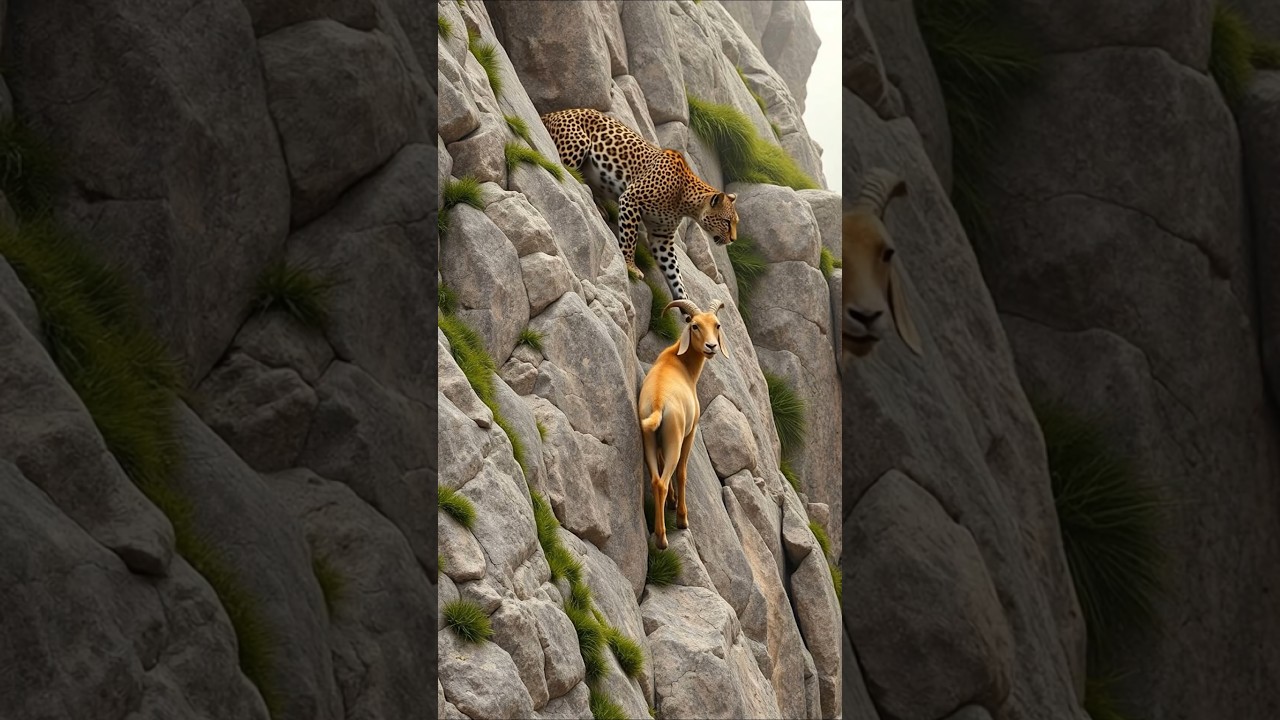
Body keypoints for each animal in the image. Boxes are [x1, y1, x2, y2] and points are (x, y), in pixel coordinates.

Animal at [540, 107, 738, 309]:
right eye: (726, 222)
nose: (733, 240)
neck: (684, 201)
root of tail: (552, 113)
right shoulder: (631, 198)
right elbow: (630, 238)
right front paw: (630, 266)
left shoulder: (662, 237)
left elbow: (675, 272)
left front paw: (687, 303)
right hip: (578, 143)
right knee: (567, 167)